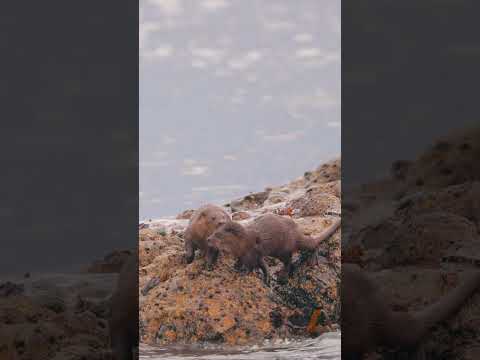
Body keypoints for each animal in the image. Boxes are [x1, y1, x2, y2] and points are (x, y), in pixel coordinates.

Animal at [206, 214, 342, 284]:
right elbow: (261, 265)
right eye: (213, 232)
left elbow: (251, 266)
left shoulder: (251, 252)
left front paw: (243, 272)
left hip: (284, 248)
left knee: (297, 254)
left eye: (218, 235)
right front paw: (236, 267)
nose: (208, 239)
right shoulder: (251, 254)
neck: (243, 242)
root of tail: (296, 231)